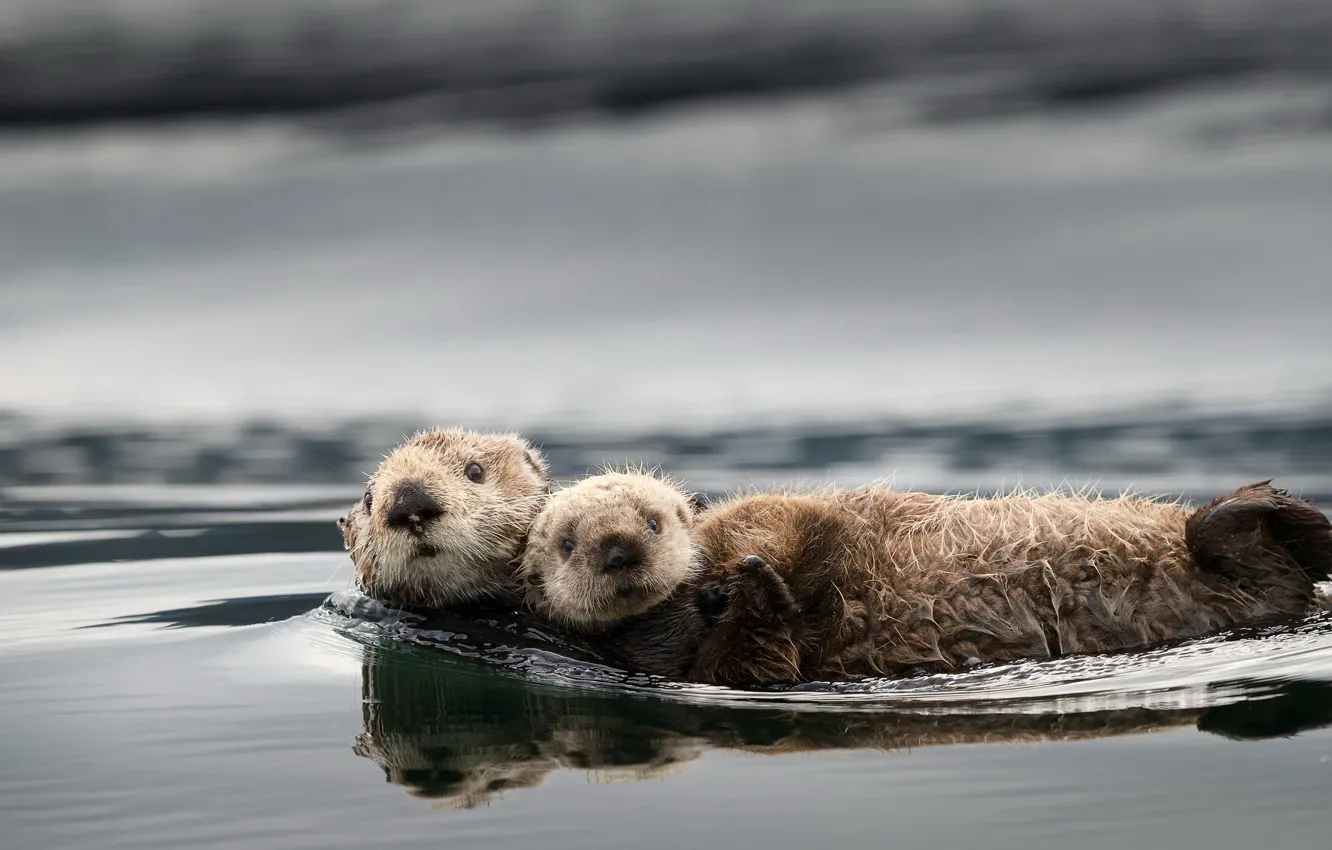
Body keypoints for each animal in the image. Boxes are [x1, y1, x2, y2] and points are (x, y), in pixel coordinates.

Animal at [520, 473, 1332, 686]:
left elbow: (784, 522)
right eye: (567, 543)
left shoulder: (765, 517)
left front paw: (751, 575)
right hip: (1249, 585)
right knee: (1260, 569)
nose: (619, 550)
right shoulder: (708, 669)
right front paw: (759, 594)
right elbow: (758, 654)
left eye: (654, 520)